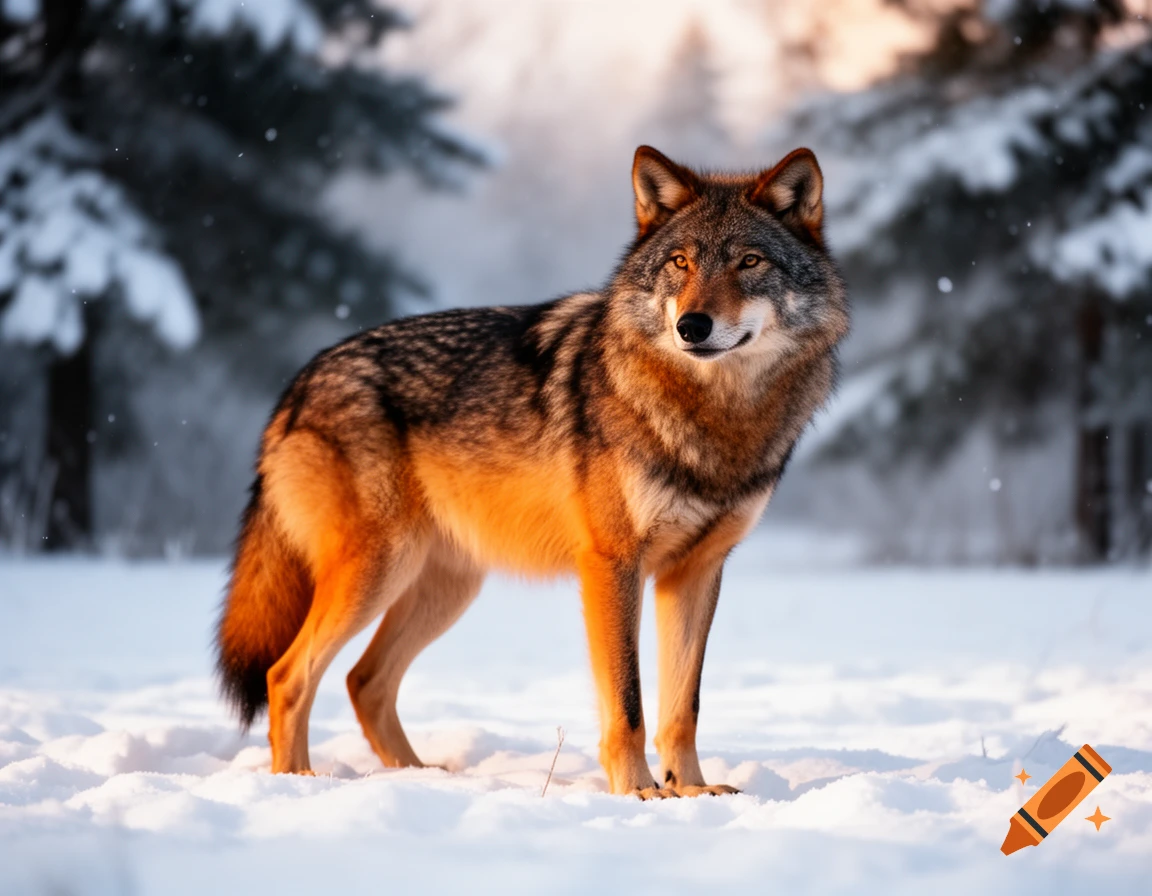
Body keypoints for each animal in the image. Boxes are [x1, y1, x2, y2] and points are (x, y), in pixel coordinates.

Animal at [215, 146, 849, 798]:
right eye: (681, 262)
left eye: (749, 261)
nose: (691, 326)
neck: (715, 417)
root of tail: (300, 381)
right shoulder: (612, 564)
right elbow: (629, 701)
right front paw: (640, 791)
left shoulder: (696, 571)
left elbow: (683, 705)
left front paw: (691, 791)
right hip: (378, 571)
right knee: (287, 676)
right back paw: (297, 782)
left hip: (443, 587)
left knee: (363, 681)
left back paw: (419, 778)